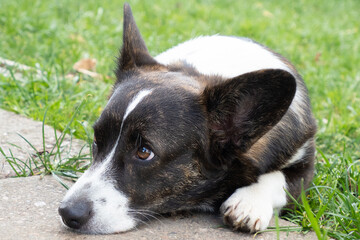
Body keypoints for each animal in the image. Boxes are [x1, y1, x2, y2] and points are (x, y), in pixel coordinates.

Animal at [58, 2, 316, 233]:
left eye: (144, 153)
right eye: (96, 140)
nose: (67, 213)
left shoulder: (305, 166)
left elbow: (279, 178)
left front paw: (249, 203)